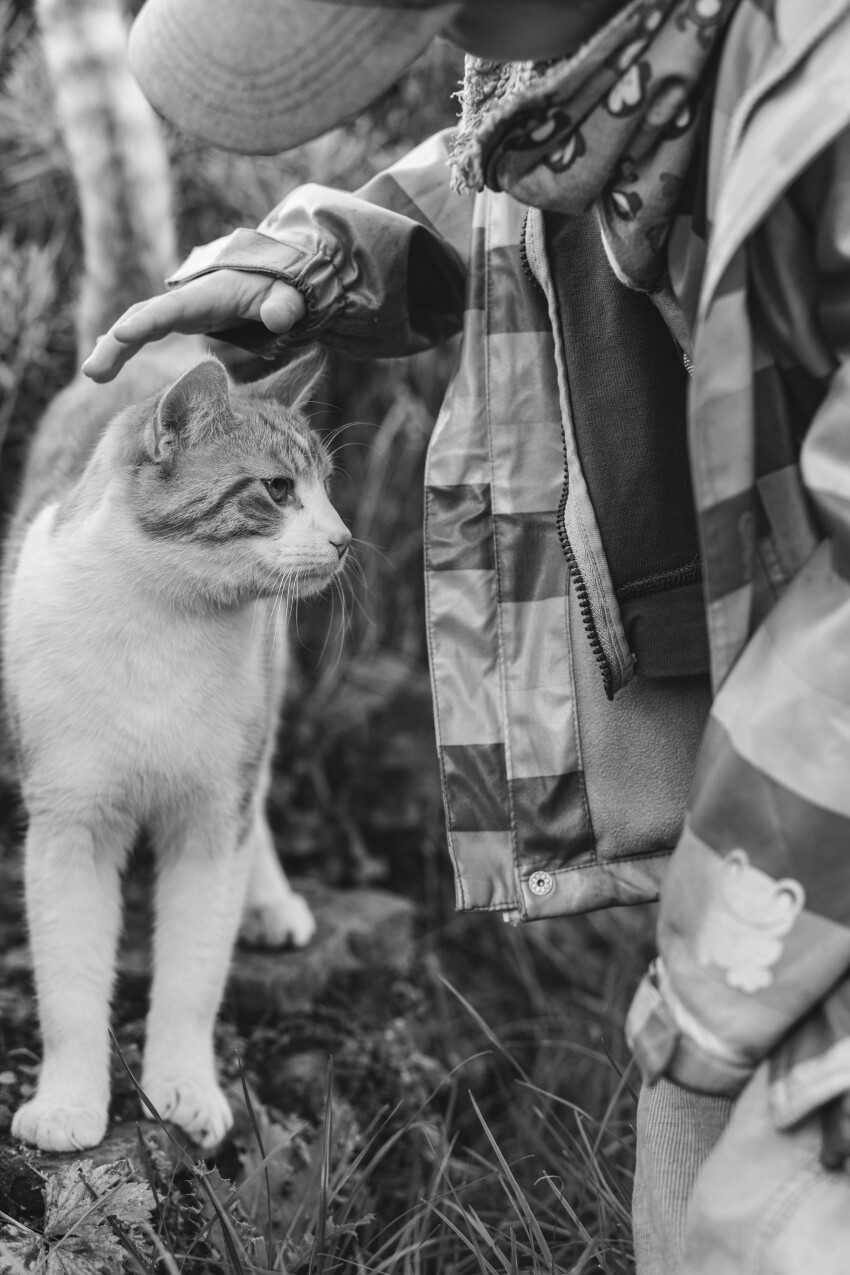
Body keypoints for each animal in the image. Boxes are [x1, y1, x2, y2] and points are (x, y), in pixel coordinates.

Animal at [2, 0, 349, 1157]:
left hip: (258, 735)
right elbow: (71, 983)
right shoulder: (68, 821)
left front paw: (182, 1090)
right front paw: (71, 1105)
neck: (166, 624)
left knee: (264, 808)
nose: (345, 541)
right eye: (277, 491)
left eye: (327, 489)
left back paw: (273, 901)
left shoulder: (209, 818)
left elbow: (192, 979)